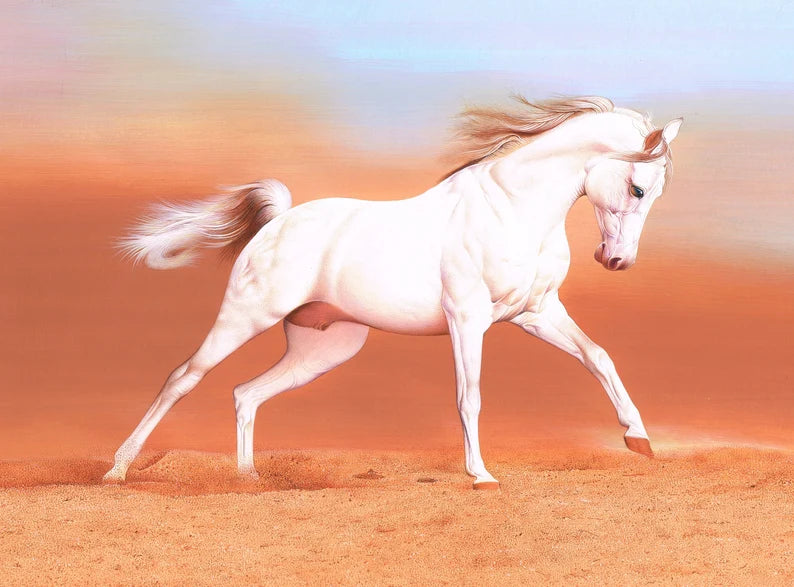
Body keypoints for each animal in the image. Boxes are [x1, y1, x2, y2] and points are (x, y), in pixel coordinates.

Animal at [103, 96, 682, 489]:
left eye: (656, 194)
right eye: (637, 188)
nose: (616, 261)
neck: (512, 209)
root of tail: (280, 220)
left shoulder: (536, 312)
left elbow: (598, 357)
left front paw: (639, 440)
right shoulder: (467, 318)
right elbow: (469, 396)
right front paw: (481, 475)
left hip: (324, 349)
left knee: (246, 394)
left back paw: (249, 480)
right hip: (245, 316)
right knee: (182, 378)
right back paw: (118, 469)